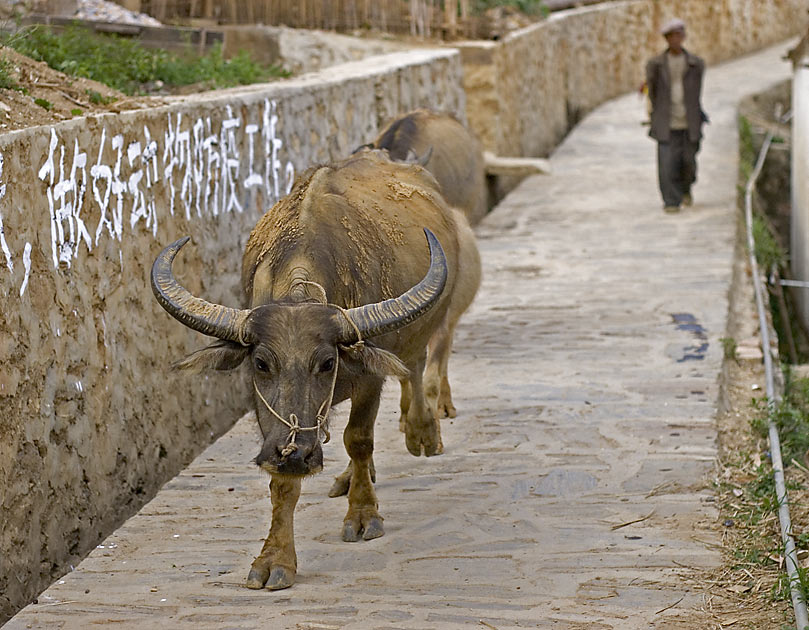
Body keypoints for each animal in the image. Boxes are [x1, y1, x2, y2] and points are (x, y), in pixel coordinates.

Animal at [150, 148, 480, 592]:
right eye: (261, 363)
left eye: (327, 362)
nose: (298, 454)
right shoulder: (266, 416)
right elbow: (281, 484)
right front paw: (275, 559)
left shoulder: (367, 377)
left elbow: (358, 439)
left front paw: (363, 515)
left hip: (424, 327)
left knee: (413, 366)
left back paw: (421, 433)